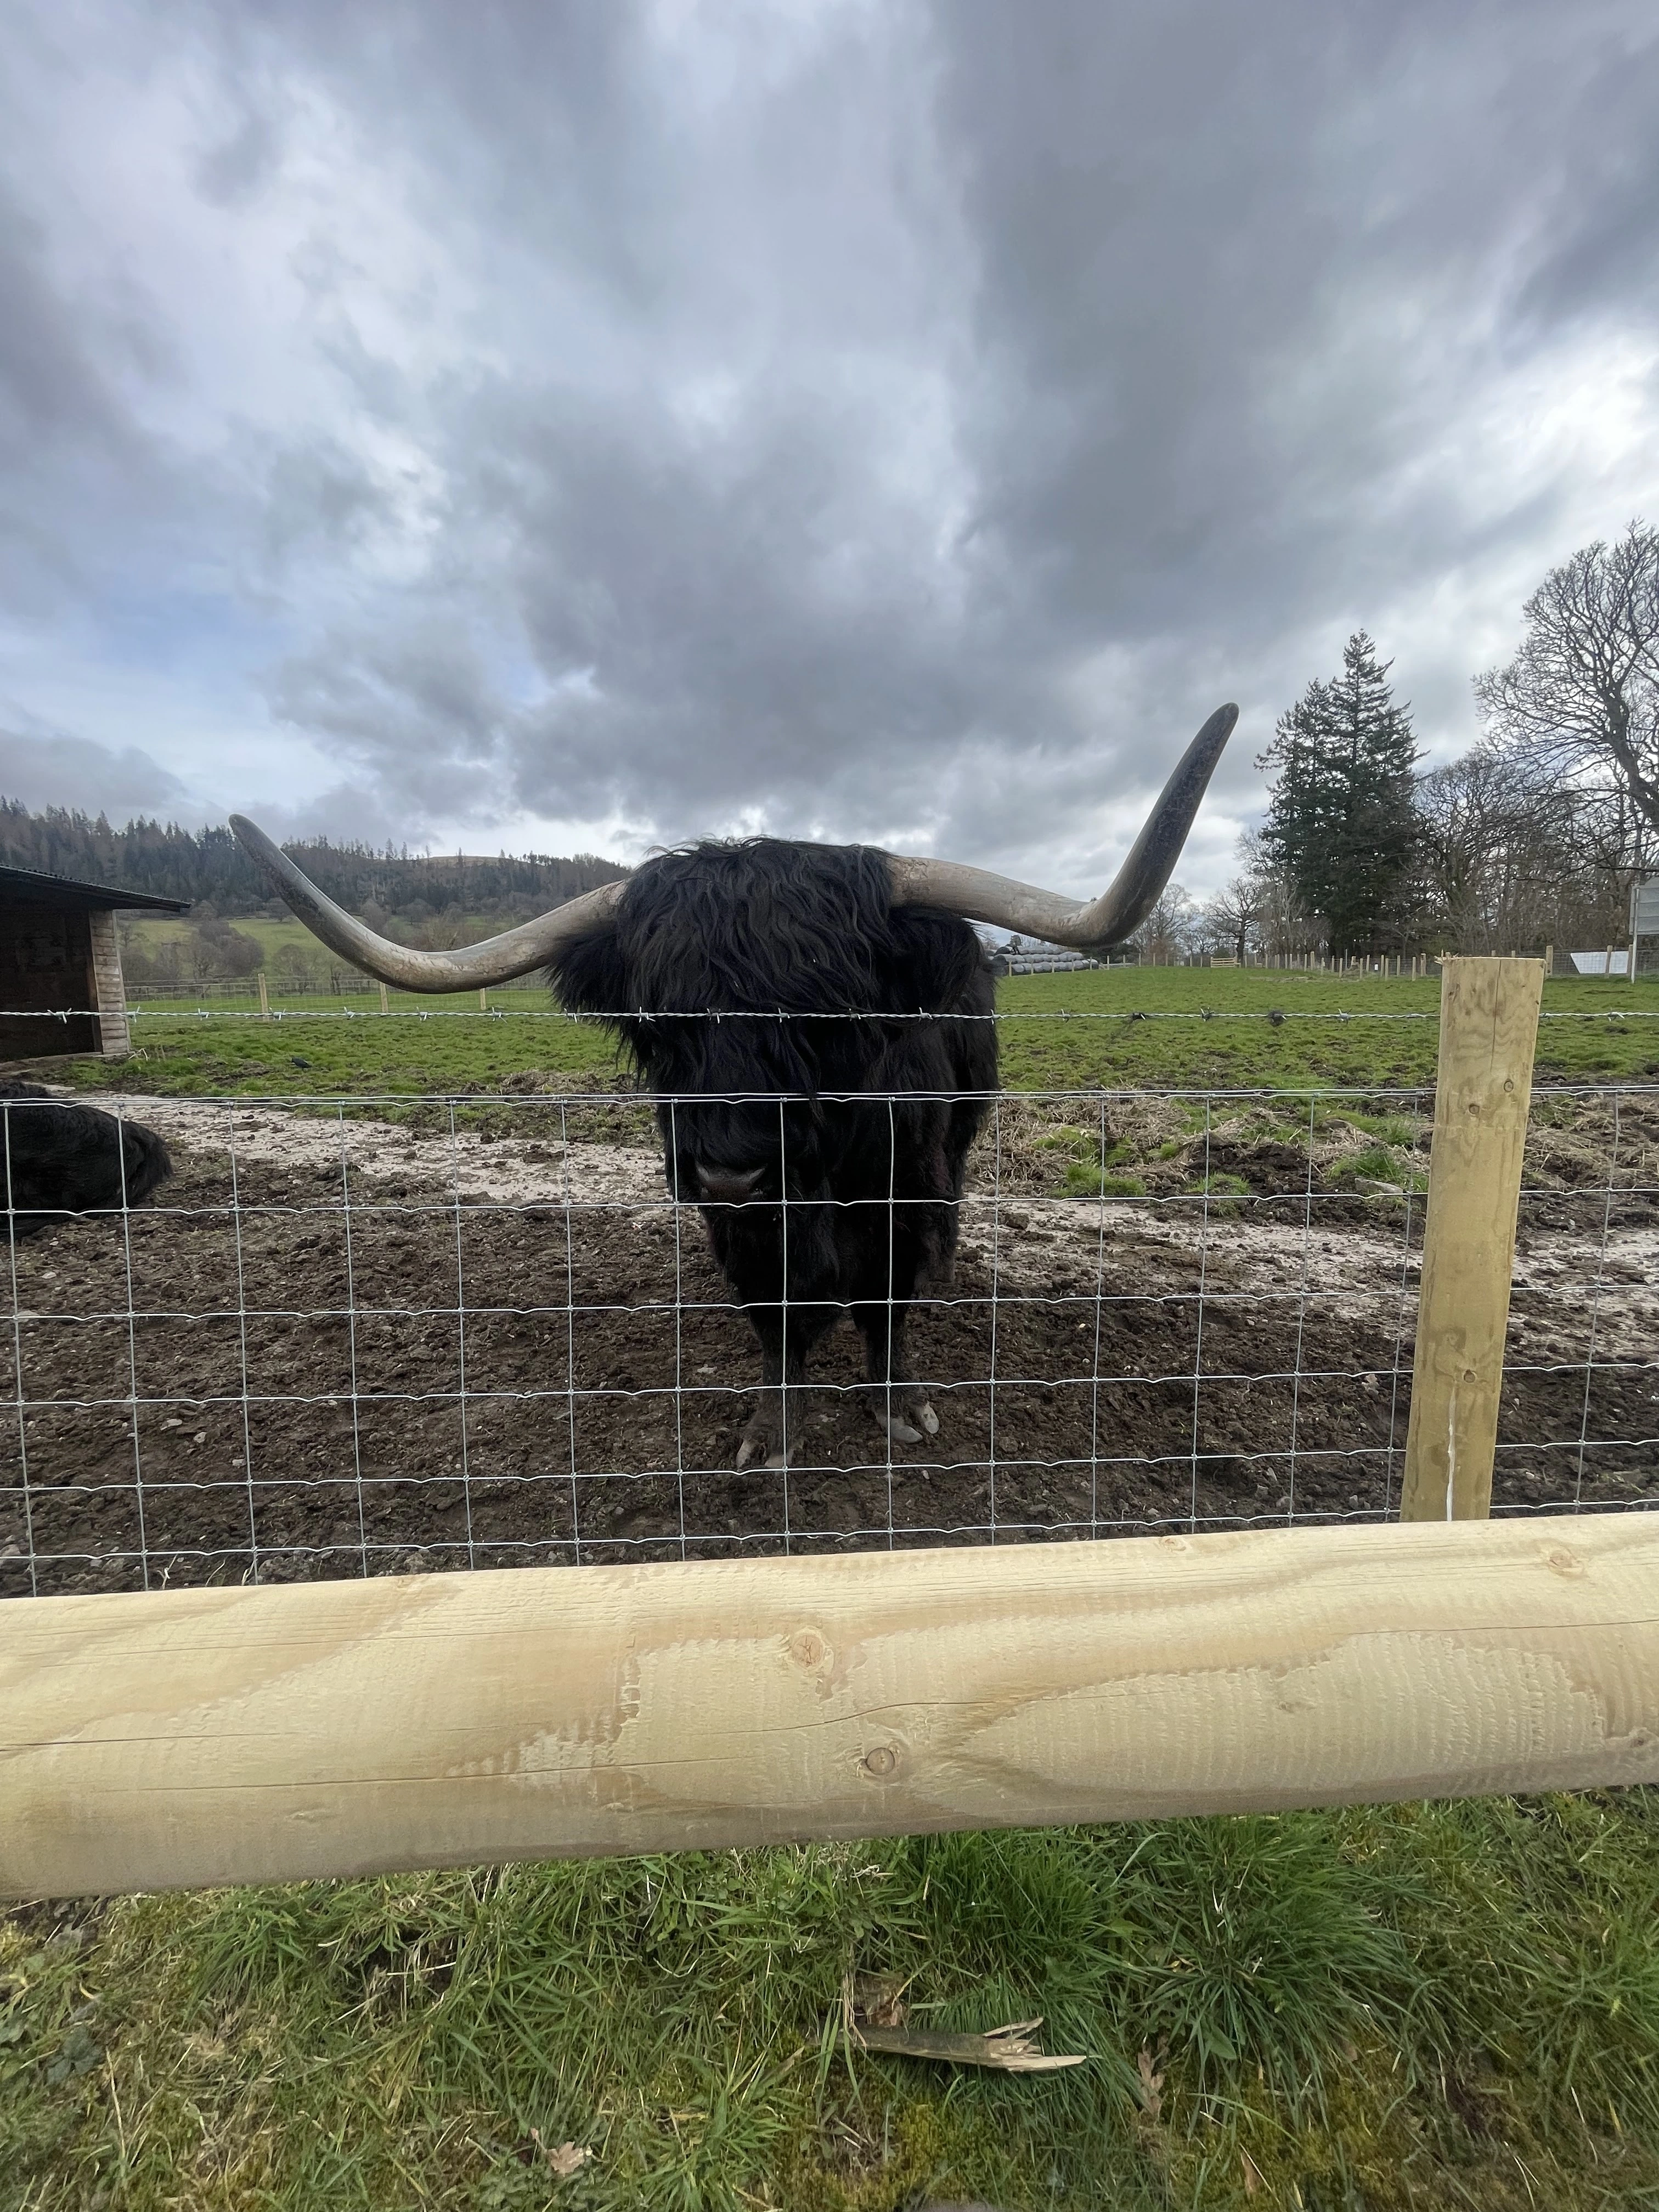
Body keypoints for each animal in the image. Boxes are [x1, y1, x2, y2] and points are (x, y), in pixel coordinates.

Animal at [231, 705, 1235, 1468]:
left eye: (824, 1013)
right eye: (657, 1020)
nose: (729, 1169)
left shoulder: (901, 1189)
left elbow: (886, 1301)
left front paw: (898, 1404)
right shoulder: (744, 1225)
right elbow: (776, 1317)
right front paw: (772, 1429)